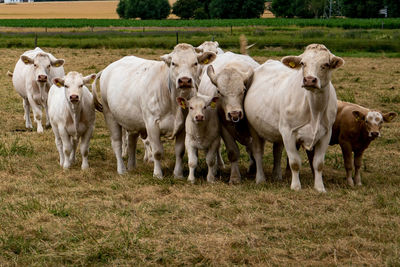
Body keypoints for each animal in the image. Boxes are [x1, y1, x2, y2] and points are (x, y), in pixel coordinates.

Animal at [92, 43, 217, 178]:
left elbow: (180, 151)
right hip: (110, 115)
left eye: (195, 63)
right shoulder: (152, 124)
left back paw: (132, 166)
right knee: (117, 144)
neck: (173, 101)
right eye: (173, 63)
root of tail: (108, 68)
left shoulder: (183, 126)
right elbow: (157, 152)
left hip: (131, 120)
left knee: (131, 142)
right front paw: (157, 174)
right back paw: (122, 169)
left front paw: (178, 174)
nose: (184, 80)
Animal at [198, 51, 260, 183]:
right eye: (219, 92)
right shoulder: (224, 128)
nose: (234, 114)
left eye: (243, 90)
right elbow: (232, 152)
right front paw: (235, 177)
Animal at [245, 43, 346, 193]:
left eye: (326, 64)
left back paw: (277, 176)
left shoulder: (326, 133)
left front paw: (319, 187)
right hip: (254, 128)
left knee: (277, 152)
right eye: (303, 63)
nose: (309, 80)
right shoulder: (288, 132)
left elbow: (318, 163)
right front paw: (296, 186)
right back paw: (260, 178)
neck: (315, 110)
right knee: (258, 152)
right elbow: (294, 162)